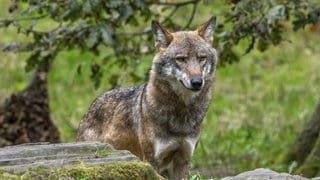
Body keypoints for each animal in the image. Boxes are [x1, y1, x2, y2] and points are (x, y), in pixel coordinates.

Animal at [77, 16, 218, 179]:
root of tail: (91, 107)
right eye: (181, 59)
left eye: (202, 58)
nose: (197, 82)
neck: (181, 113)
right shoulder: (151, 160)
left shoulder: (183, 161)